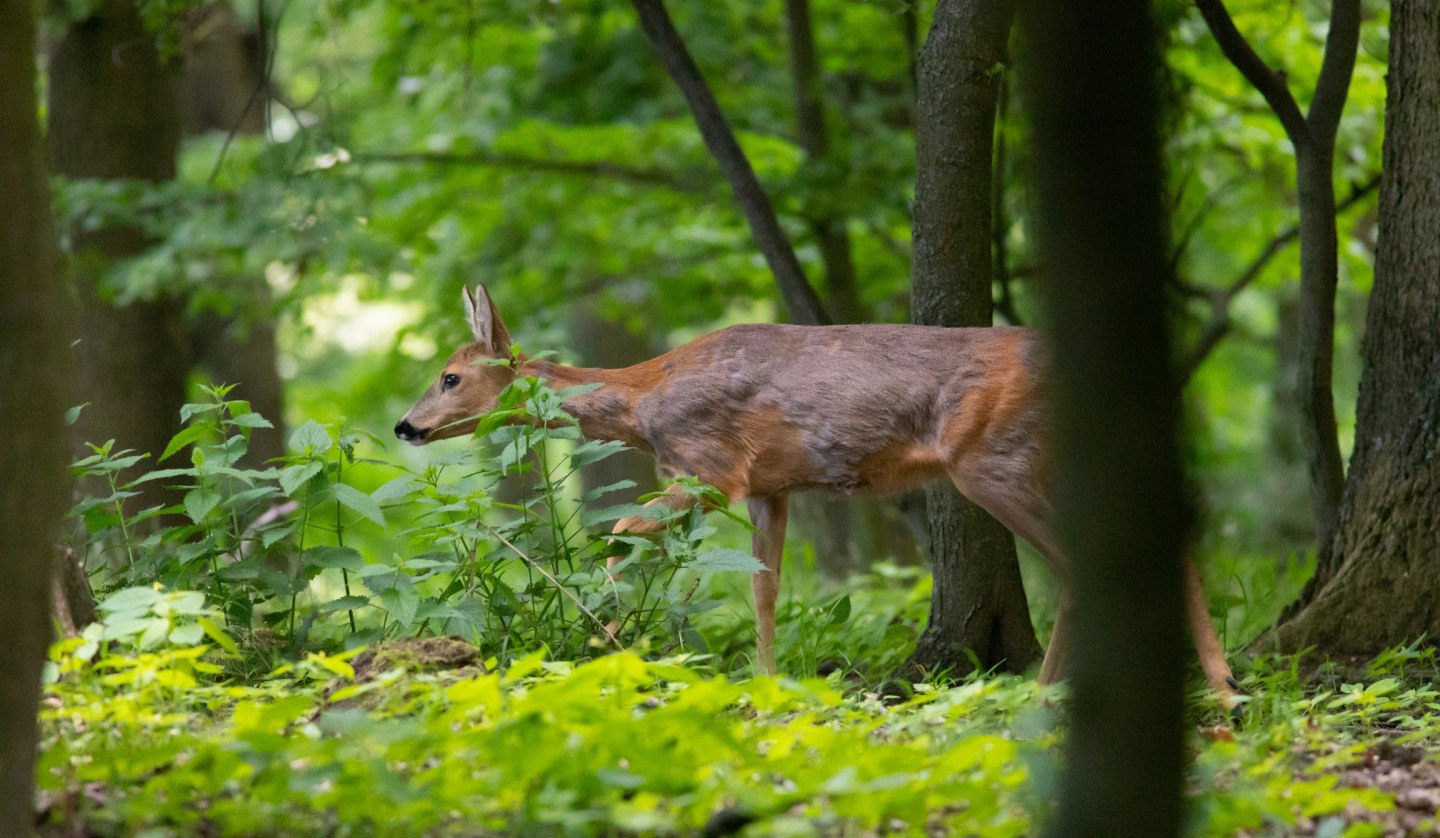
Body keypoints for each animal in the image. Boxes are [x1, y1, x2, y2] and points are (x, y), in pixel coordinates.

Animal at [397, 283, 1238, 702]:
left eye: (450, 375)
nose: (405, 425)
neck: (641, 404)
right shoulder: (770, 487)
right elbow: (764, 591)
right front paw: (768, 685)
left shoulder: (712, 469)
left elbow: (623, 530)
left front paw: (607, 632)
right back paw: (1202, 685)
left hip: (993, 461)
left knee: (1082, 566)